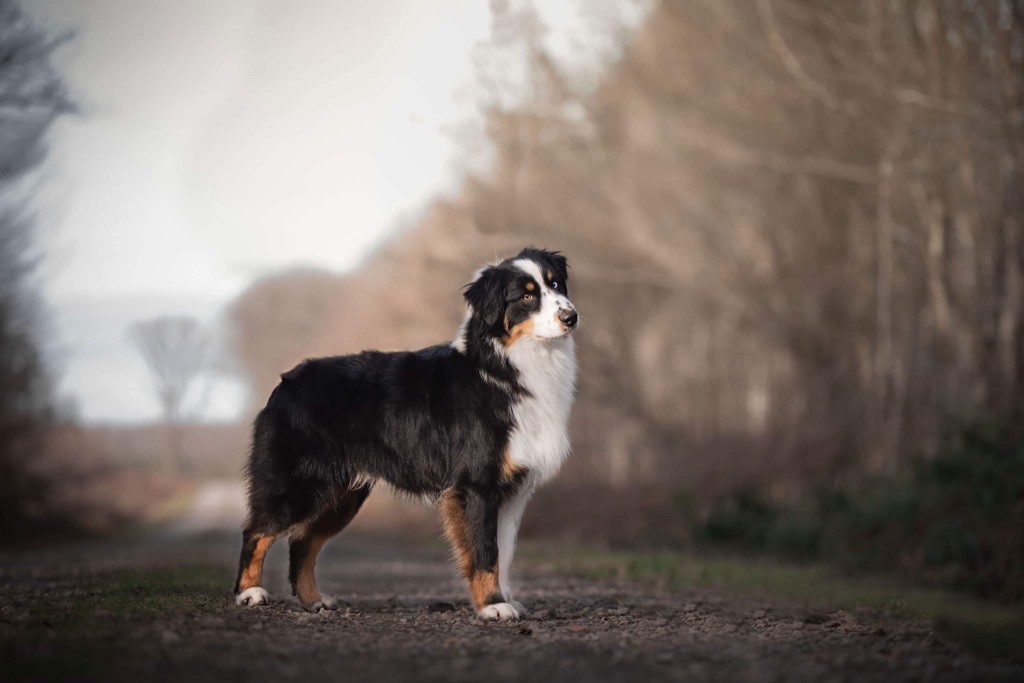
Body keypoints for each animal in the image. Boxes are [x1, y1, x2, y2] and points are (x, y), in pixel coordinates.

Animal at [234, 246, 581, 618]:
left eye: (555, 284)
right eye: (527, 296)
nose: (571, 317)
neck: (507, 367)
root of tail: (286, 382)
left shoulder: (514, 489)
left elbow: (505, 552)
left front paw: (505, 598)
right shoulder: (476, 484)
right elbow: (485, 551)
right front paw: (493, 605)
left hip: (342, 494)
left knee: (303, 541)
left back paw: (313, 599)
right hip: (297, 485)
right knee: (257, 531)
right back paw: (249, 593)